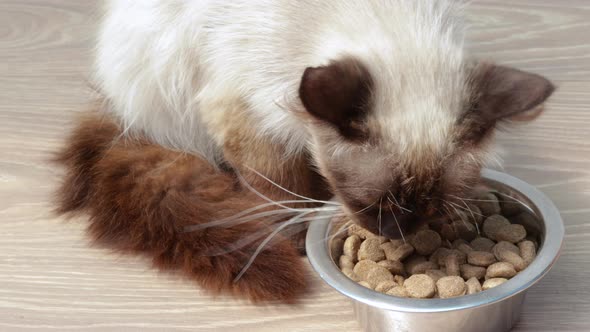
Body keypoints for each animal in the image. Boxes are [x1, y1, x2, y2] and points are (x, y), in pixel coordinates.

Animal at [56, 0, 556, 300]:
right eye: (366, 205)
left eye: (431, 208)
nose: (393, 235)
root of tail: (116, 108)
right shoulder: (246, 112)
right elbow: (280, 190)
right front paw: (297, 233)